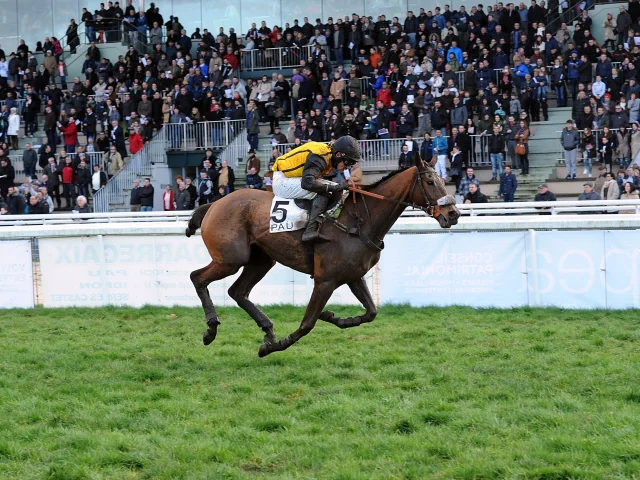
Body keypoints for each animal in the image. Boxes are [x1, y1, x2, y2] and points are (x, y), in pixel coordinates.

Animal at [185, 155, 460, 356]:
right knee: (197, 277)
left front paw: (332, 316)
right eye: (430, 182)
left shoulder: (354, 277)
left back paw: (267, 330)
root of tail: (215, 203)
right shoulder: (325, 280)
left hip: (261, 260)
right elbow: (307, 324)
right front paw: (276, 346)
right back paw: (212, 329)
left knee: (238, 291)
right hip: (231, 259)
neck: (358, 222)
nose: (454, 213)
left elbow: (371, 312)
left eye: (442, 179)